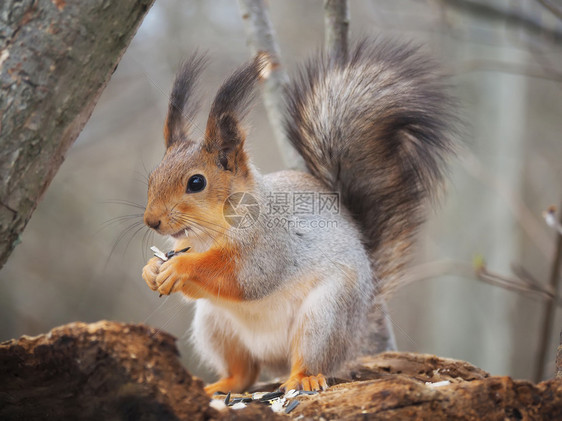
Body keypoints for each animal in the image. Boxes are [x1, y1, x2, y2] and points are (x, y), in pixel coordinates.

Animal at [140, 38, 456, 394]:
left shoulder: (270, 246)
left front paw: (180, 267)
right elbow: (194, 287)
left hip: (325, 317)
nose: (152, 221)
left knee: (308, 357)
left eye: (196, 183)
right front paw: (151, 269)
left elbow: (244, 278)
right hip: (214, 323)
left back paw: (304, 378)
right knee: (245, 372)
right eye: (152, 177)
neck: (208, 234)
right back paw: (220, 386)